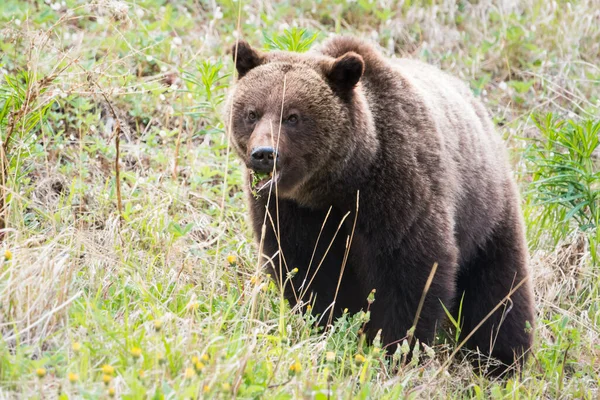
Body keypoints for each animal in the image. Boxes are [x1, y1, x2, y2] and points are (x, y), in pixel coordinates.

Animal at [225, 35, 536, 376]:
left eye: (293, 116)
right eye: (252, 113)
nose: (264, 153)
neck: (338, 184)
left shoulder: (398, 192)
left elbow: (412, 273)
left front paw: (396, 349)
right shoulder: (290, 210)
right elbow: (307, 269)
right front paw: (328, 325)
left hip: (486, 210)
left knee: (499, 290)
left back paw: (501, 360)